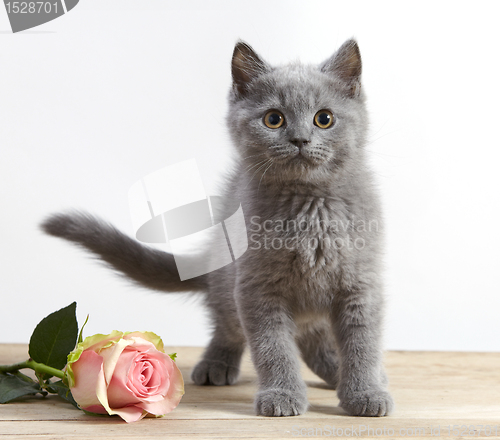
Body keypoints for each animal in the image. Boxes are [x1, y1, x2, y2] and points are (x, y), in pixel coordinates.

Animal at [42, 39, 394, 418]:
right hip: (228, 286)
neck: (309, 205)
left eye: (324, 118)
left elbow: (363, 343)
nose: (300, 139)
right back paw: (216, 365)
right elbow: (273, 347)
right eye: (274, 119)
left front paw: (366, 391)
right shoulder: (256, 287)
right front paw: (281, 394)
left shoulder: (361, 286)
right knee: (229, 328)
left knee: (314, 341)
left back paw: (337, 371)